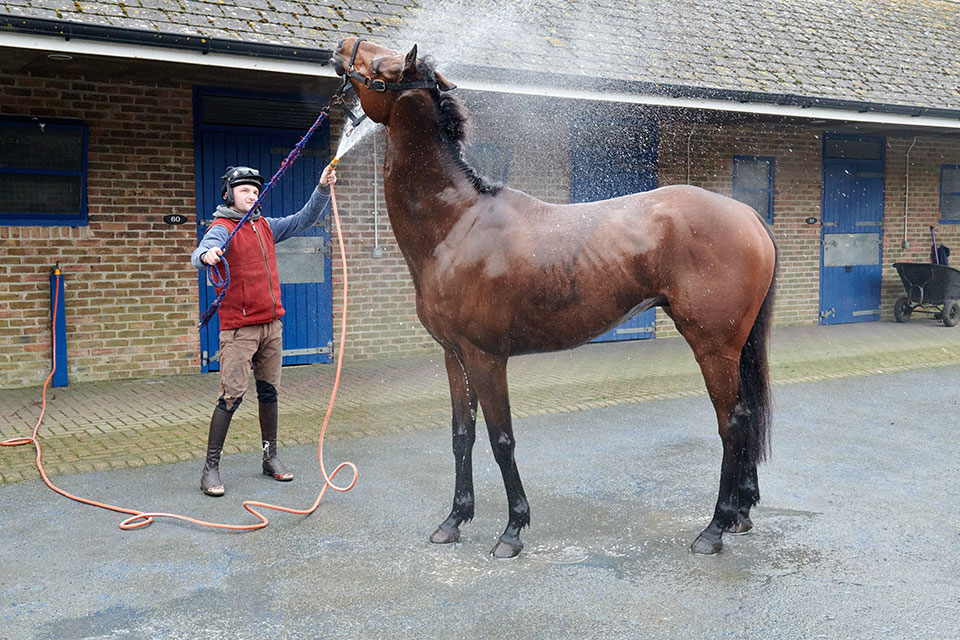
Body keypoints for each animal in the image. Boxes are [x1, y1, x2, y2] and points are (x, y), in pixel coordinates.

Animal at [331, 38, 779, 558]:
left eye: (382, 65)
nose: (341, 48)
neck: (458, 222)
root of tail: (746, 213)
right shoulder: (454, 357)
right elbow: (462, 436)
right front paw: (454, 520)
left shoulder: (486, 357)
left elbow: (501, 439)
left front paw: (512, 530)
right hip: (733, 348)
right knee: (745, 417)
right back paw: (741, 514)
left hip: (712, 346)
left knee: (732, 422)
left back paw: (714, 528)